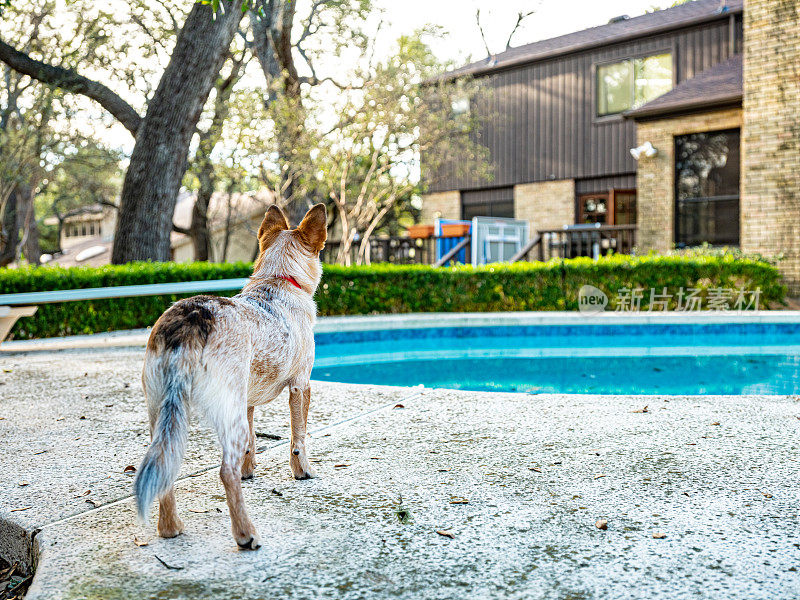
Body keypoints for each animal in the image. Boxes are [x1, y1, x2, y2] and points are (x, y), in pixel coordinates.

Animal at [133, 204, 326, 552]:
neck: (277, 280)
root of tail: (192, 318)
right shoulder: (301, 385)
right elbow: (298, 437)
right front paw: (302, 471)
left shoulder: (247, 401)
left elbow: (251, 443)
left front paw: (249, 471)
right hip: (226, 411)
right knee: (225, 472)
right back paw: (246, 534)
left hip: (162, 411)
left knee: (166, 464)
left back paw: (170, 528)